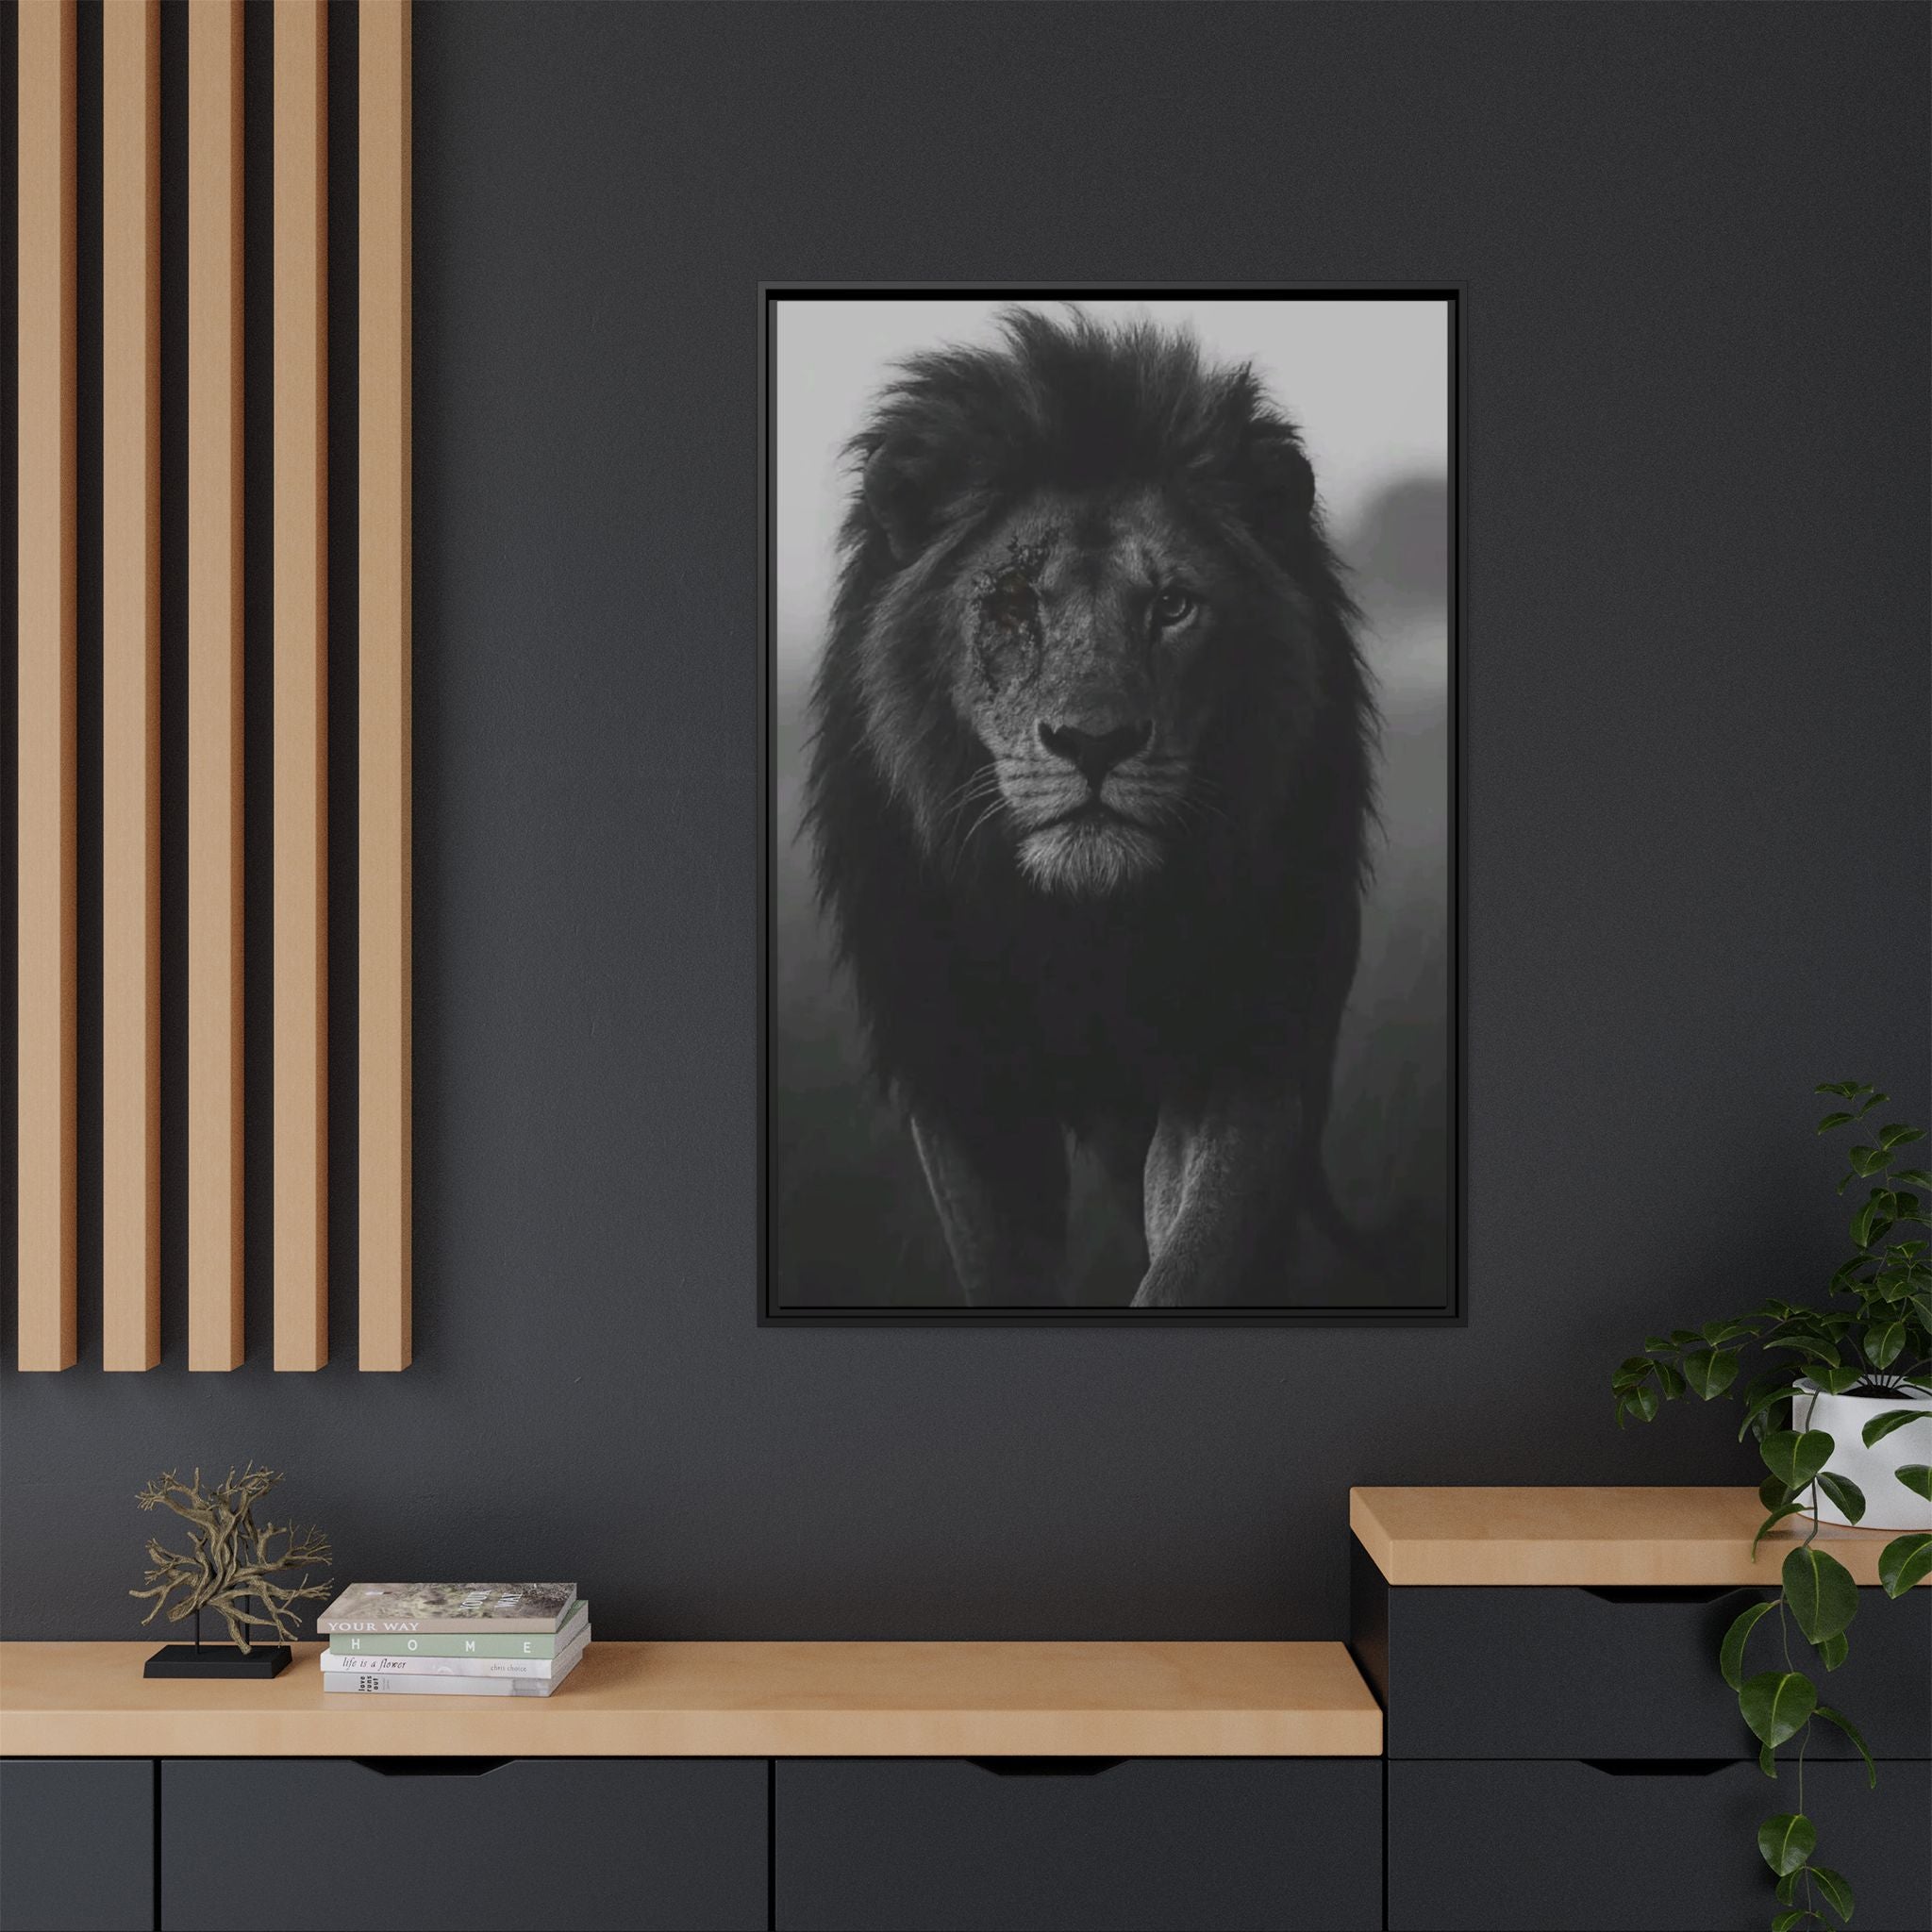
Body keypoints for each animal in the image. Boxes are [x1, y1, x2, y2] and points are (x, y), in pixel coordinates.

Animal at [802, 308, 1376, 1308]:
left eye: (1174, 606)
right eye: (1013, 603)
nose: (1095, 742)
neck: (1085, 932)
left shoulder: (1242, 1047)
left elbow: (1198, 1248)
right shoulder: (960, 1073)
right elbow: (1000, 1266)